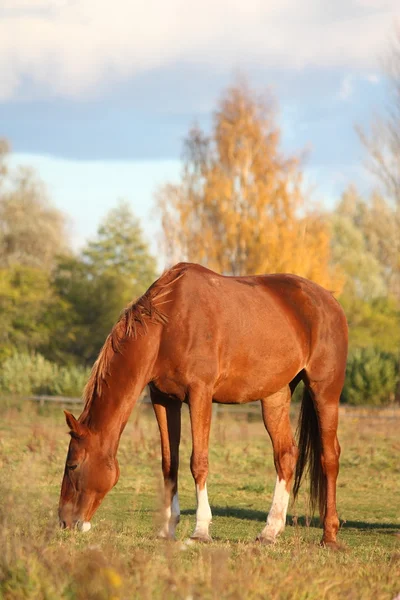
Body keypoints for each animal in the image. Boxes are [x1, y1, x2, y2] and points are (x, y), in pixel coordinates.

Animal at [57, 260, 348, 548]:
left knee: (329, 457)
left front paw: (201, 529)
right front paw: (166, 528)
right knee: (285, 455)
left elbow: (198, 462)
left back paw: (329, 535)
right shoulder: (164, 400)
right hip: (275, 395)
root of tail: (329, 301)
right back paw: (270, 531)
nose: (64, 521)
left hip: (325, 392)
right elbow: (169, 463)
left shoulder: (200, 394)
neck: (167, 326)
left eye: (72, 465)